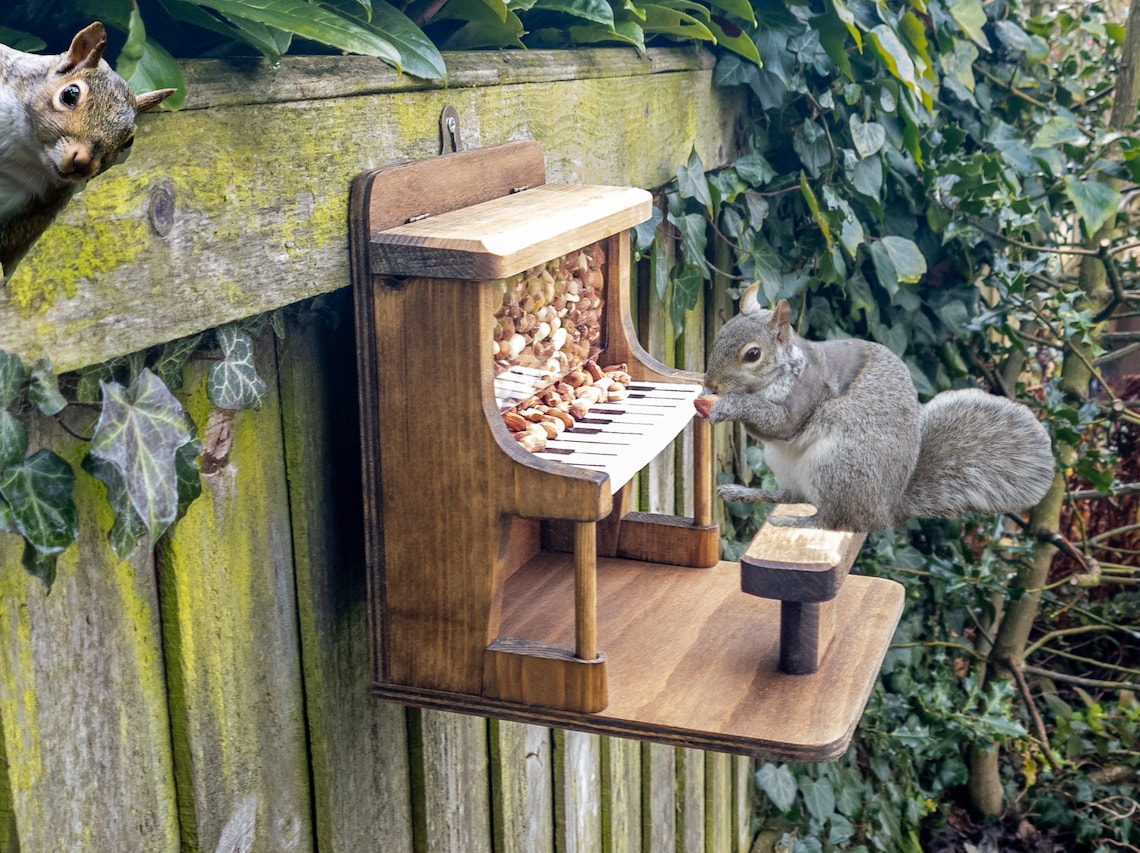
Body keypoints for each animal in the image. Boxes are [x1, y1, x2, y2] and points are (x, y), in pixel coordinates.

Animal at [694, 284, 1055, 532]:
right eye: (720, 335)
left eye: (752, 354)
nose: (712, 384)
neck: (786, 368)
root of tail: (887, 510)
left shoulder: (804, 398)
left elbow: (778, 424)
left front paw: (728, 406)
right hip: (784, 465)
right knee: (793, 497)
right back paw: (744, 493)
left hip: (839, 464)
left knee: (834, 519)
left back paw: (799, 523)